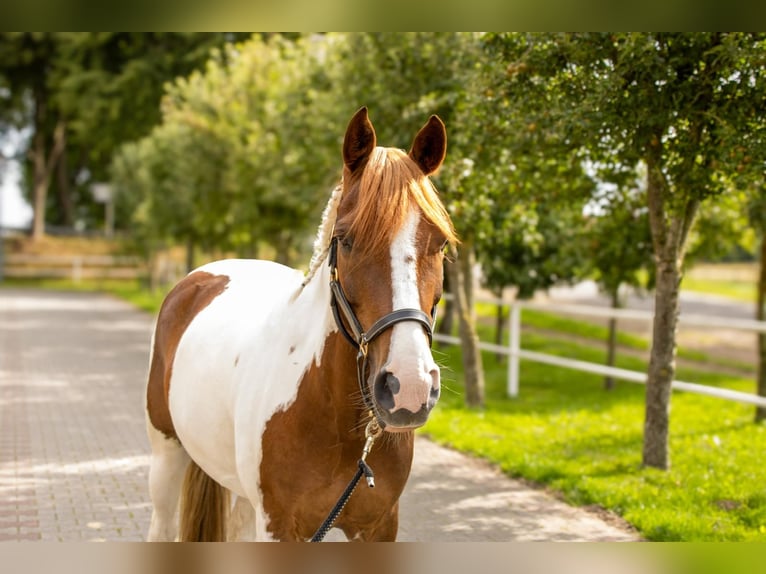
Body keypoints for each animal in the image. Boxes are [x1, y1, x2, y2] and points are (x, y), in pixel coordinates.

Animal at [144, 107, 458, 542]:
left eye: (440, 243)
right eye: (346, 239)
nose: (408, 387)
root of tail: (200, 278)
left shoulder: (379, 526)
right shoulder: (278, 525)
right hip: (166, 456)